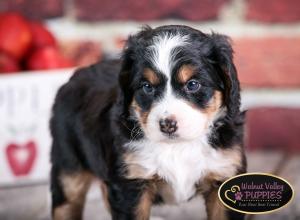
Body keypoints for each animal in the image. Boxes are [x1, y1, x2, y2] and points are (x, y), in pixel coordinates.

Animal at [49, 24, 246, 220]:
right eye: (147, 87)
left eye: (192, 84)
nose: (167, 125)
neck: (178, 147)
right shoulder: (130, 184)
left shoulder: (225, 172)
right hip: (68, 168)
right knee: (66, 203)